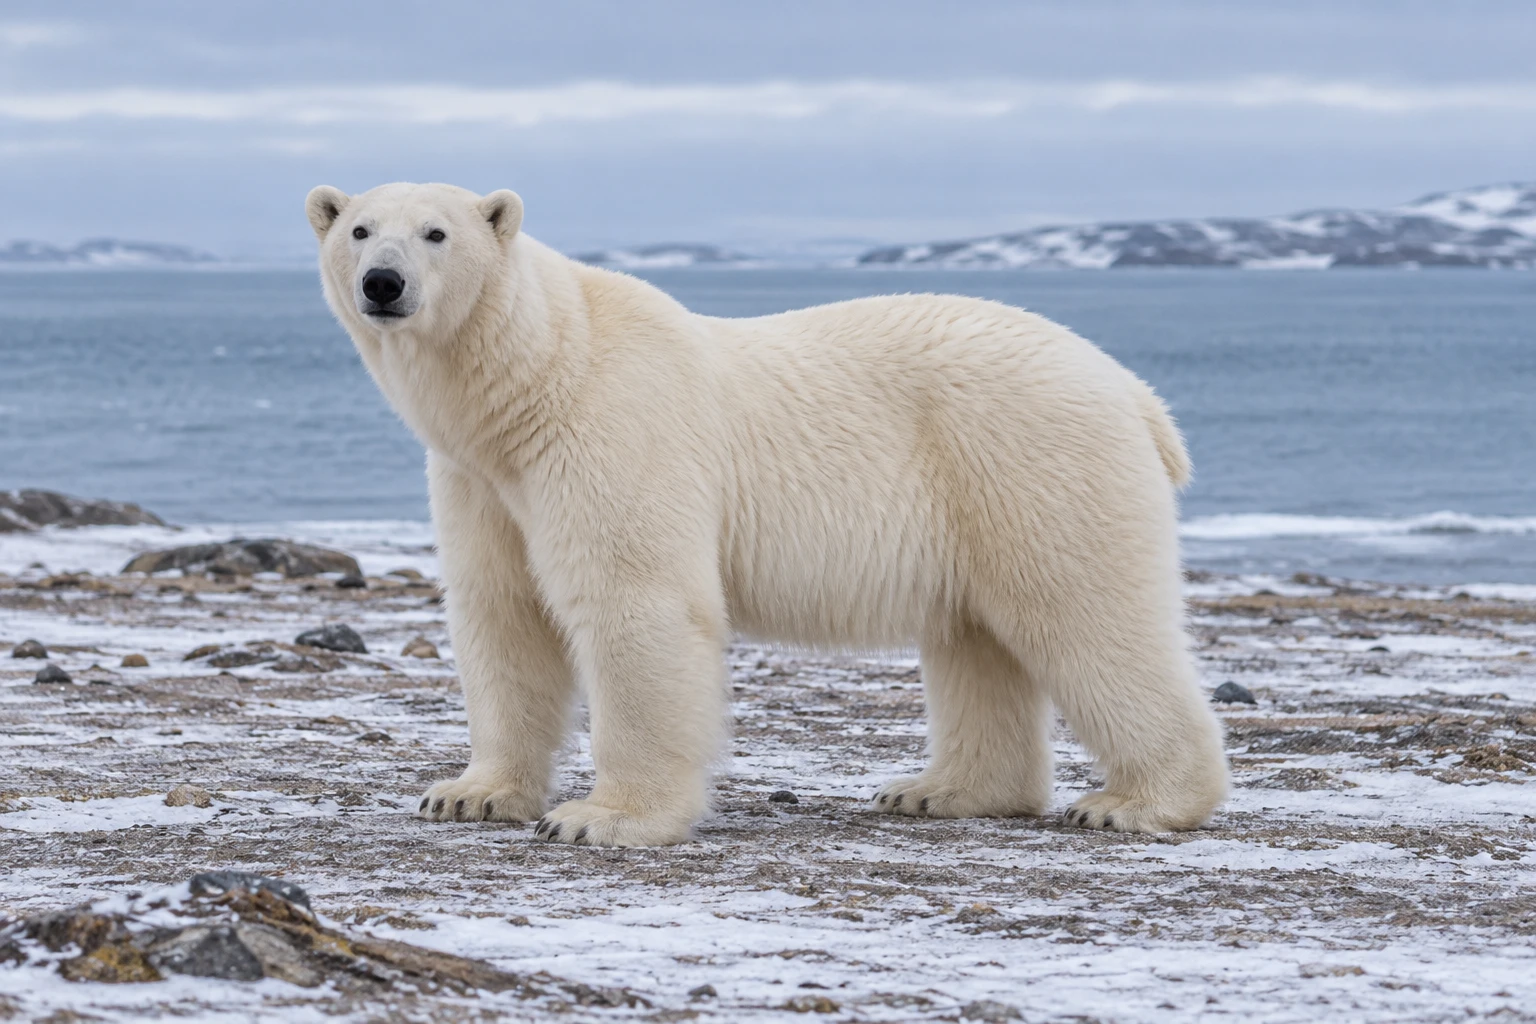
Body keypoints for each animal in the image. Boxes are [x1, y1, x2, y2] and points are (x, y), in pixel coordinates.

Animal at [306, 181, 1229, 847]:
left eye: (436, 233)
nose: (383, 283)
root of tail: (1135, 393)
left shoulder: (613, 431)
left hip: (1030, 461)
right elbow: (502, 614)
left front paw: (603, 817)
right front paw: (468, 794)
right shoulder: (483, 481)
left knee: (1082, 611)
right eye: (358, 229)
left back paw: (1132, 802)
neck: (538, 378)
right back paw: (938, 790)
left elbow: (635, 603)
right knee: (977, 637)